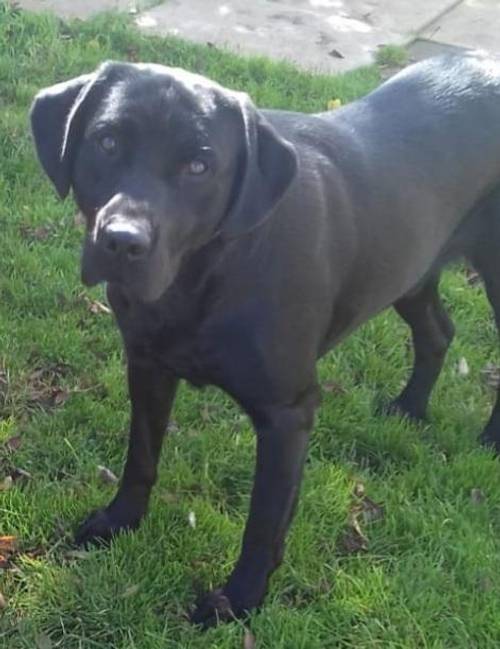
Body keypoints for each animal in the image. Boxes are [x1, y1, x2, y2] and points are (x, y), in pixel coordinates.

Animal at [30, 54, 500, 624]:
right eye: (108, 141)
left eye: (199, 167)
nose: (122, 242)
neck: (200, 277)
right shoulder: (146, 364)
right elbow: (140, 457)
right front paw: (119, 521)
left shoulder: (287, 414)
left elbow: (264, 521)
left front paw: (239, 600)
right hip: (409, 267)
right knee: (438, 331)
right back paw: (409, 408)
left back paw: (491, 440)